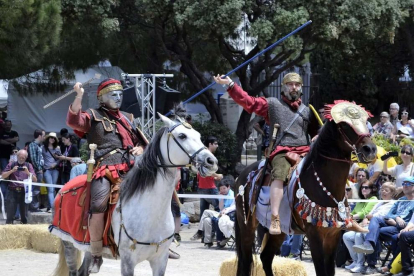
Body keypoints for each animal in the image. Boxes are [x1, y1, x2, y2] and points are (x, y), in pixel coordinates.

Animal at [52, 113, 217, 274]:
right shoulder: (127, 261)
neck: (151, 212)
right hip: (68, 243)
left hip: (87, 248)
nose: (211, 161)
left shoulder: (160, 260)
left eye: (198, 135)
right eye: (182, 135)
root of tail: (63, 188)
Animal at [234, 109, 376, 274]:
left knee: (266, 257)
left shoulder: (332, 236)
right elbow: (321, 270)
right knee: (247, 260)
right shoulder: (315, 236)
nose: (371, 149)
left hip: (280, 230)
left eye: (365, 121)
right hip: (247, 225)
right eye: (346, 125)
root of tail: (242, 176)